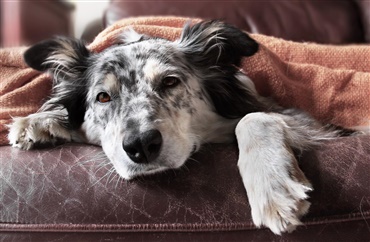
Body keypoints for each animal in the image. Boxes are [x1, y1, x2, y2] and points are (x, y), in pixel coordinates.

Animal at [6, 20, 346, 234]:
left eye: (170, 82)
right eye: (103, 97)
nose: (141, 146)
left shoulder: (305, 120)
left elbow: (253, 118)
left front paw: (272, 188)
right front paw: (39, 121)